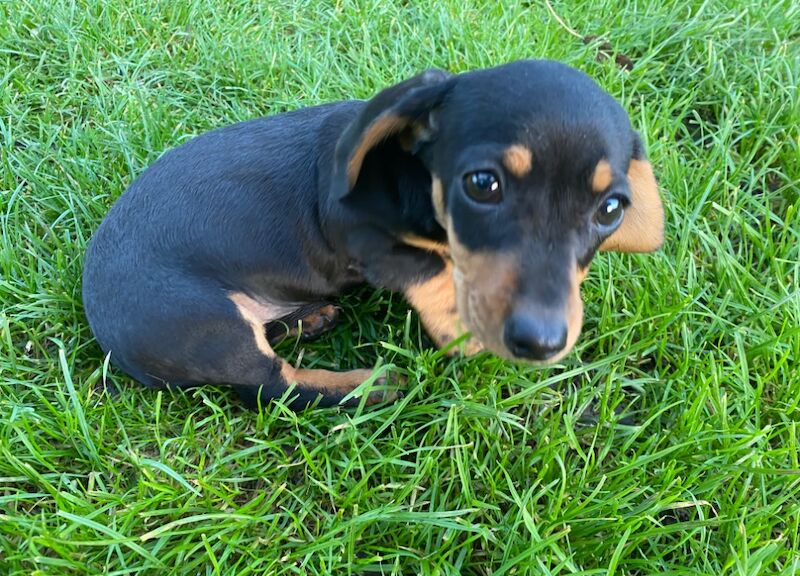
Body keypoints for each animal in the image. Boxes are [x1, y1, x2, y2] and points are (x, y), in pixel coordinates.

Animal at [84, 60, 664, 408]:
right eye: (482, 184)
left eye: (611, 209)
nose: (540, 342)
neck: (411, 173)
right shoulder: (357, 234)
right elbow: (433, 266)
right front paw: (458, 325)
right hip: (209, 324)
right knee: (276, 386)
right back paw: (370, 386)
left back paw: (307, 320)